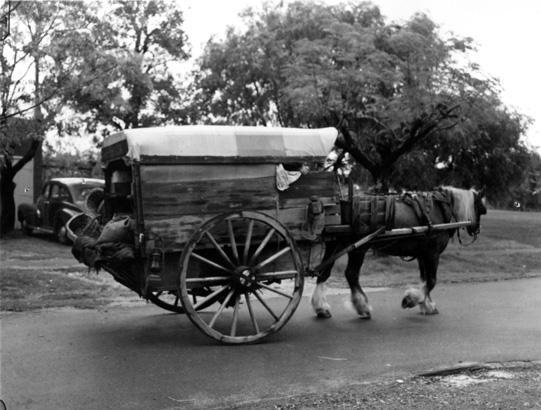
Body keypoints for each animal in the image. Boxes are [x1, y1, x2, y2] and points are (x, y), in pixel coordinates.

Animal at [310, 186, 488, 318]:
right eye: (481, 209)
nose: (476, 230)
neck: (440, 209)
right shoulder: (432, 254)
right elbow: (431, 281)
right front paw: (412, 300)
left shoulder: (422, 255)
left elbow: (424, 280)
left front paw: (426, 304)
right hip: (358, 248)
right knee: (351, 274)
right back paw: (362, 306)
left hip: (335, 244)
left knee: (324, 272)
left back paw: (321, 307)